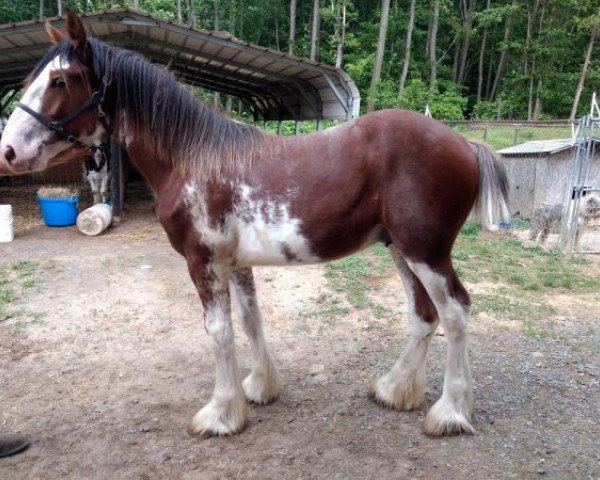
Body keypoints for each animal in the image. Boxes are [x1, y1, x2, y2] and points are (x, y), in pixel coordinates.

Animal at [1, 12, 510, 438]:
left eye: (60, 80)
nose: (8, 152)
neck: (193, 158)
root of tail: (463, 144)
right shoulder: (235, 263)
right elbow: (250, 320)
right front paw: (260, 387)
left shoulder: (203, 263)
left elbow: (220, 332)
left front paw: (220, 414)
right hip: (401, 249)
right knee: (424, 314)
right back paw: (395, 389)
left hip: (426, 252)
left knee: (455, 312)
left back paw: (450, 412)